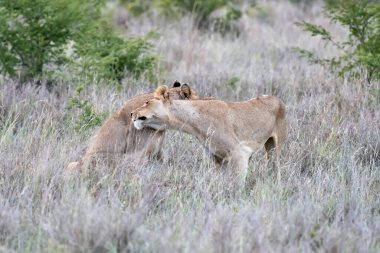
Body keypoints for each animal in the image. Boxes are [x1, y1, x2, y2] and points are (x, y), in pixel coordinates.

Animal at [131, 85, 284, 190]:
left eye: (147, 102)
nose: (132, 113)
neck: (192, 123)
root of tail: (276, 97)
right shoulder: (217, 158)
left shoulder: (240, 153)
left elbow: (238, 185)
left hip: (276, 146)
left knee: (276, 168)